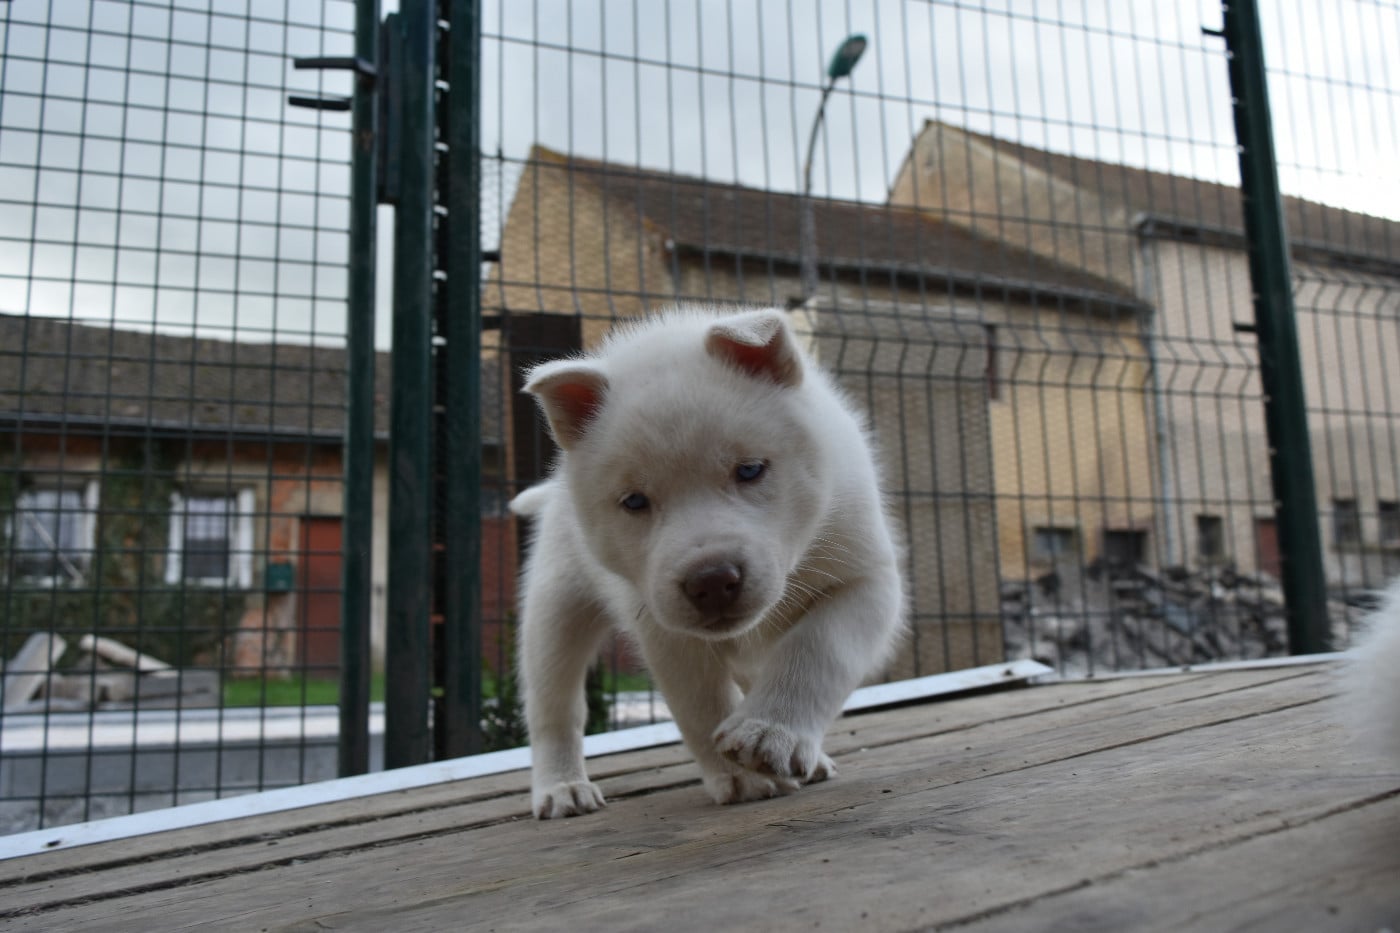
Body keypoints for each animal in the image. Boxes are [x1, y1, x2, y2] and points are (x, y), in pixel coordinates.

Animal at [511, 307, 906, 819]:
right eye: (634, 501)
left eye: (750, 470)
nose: (712, 582)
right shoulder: (665, 631)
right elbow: (700, 702)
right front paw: (741, 777)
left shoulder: (864, 580)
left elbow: (817, 650)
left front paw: (768, 734)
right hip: (555, 608)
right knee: (555, 708)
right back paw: (562, 788)